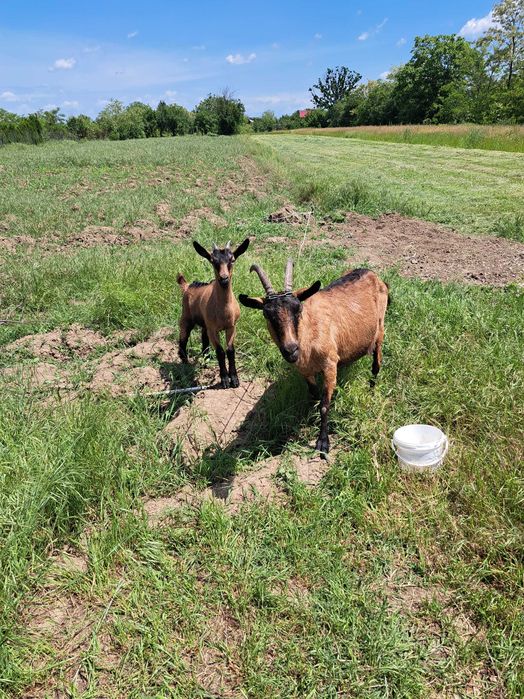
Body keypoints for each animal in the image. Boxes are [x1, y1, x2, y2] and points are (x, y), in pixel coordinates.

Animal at [177, 238, 250, 388]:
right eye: (213, 260)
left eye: (232, 259)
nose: (224, 278)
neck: (224, 311)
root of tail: (187, 286)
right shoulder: (213, 329)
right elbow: (220, 351)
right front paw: (224, 380)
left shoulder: (232, 327)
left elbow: (230, 350)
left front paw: (234, 379)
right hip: (186, 317)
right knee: (183, 339)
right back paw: (185, 362)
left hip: (205, 323)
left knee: (203, 337)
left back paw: (206, 358)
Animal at [239, 259, 389, 455]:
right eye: (266, 314)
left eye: (298, 308)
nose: (291, 350)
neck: (308, 334)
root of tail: (371, 273)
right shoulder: (304, 370)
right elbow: (314, 395)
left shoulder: (329, 365)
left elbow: (325, 405)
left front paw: (322, 443)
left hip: (380, 330)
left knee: (376, 364)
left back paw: (371, 390)